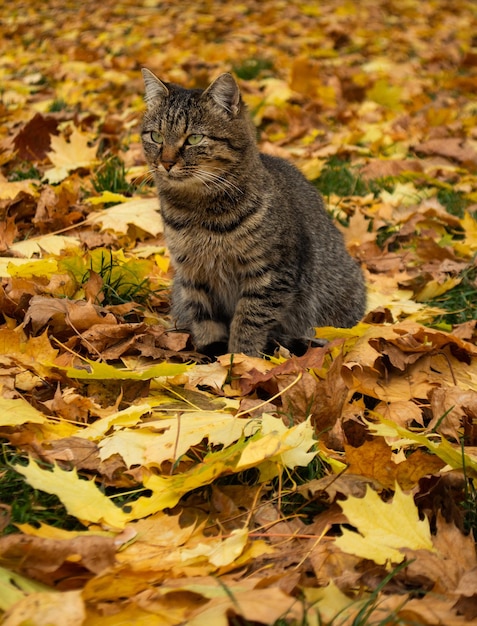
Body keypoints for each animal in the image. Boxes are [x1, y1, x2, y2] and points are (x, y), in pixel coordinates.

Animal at [140, 68, 364, 356]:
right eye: (156, 136)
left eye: (194, 139)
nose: (165, 163)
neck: (198, 212)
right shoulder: (193, 275)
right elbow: (205, 321)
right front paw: (213, 357)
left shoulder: (271, 274)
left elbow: (248, 322)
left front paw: (240, 360)